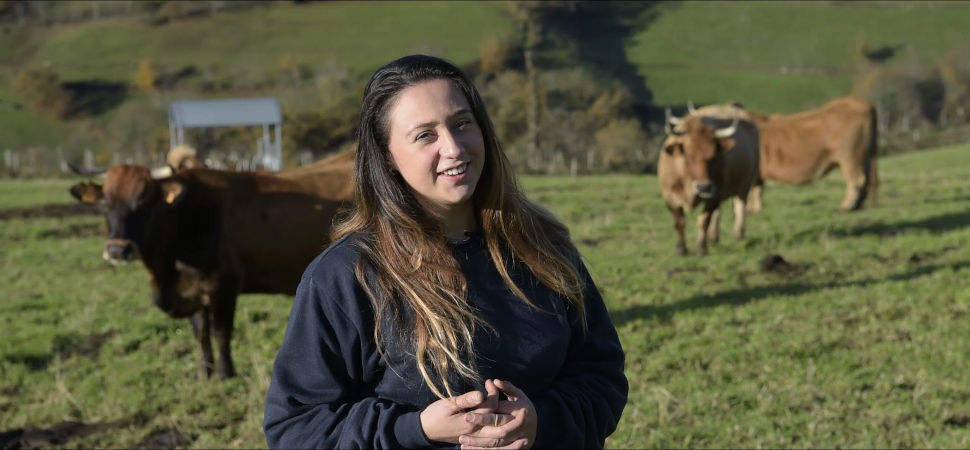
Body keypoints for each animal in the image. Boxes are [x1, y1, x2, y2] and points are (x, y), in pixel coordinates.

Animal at [656, 111, 756, 256]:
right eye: (688, 155)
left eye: (714, 156)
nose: (704, 187)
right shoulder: (669, 196)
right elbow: (679, 221)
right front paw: (680, 248)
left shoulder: (714, 195)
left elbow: (704, 221)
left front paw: (701, 248)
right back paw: (713, 238)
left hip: (744, 186)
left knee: (739, 208)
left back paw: (738, 235)